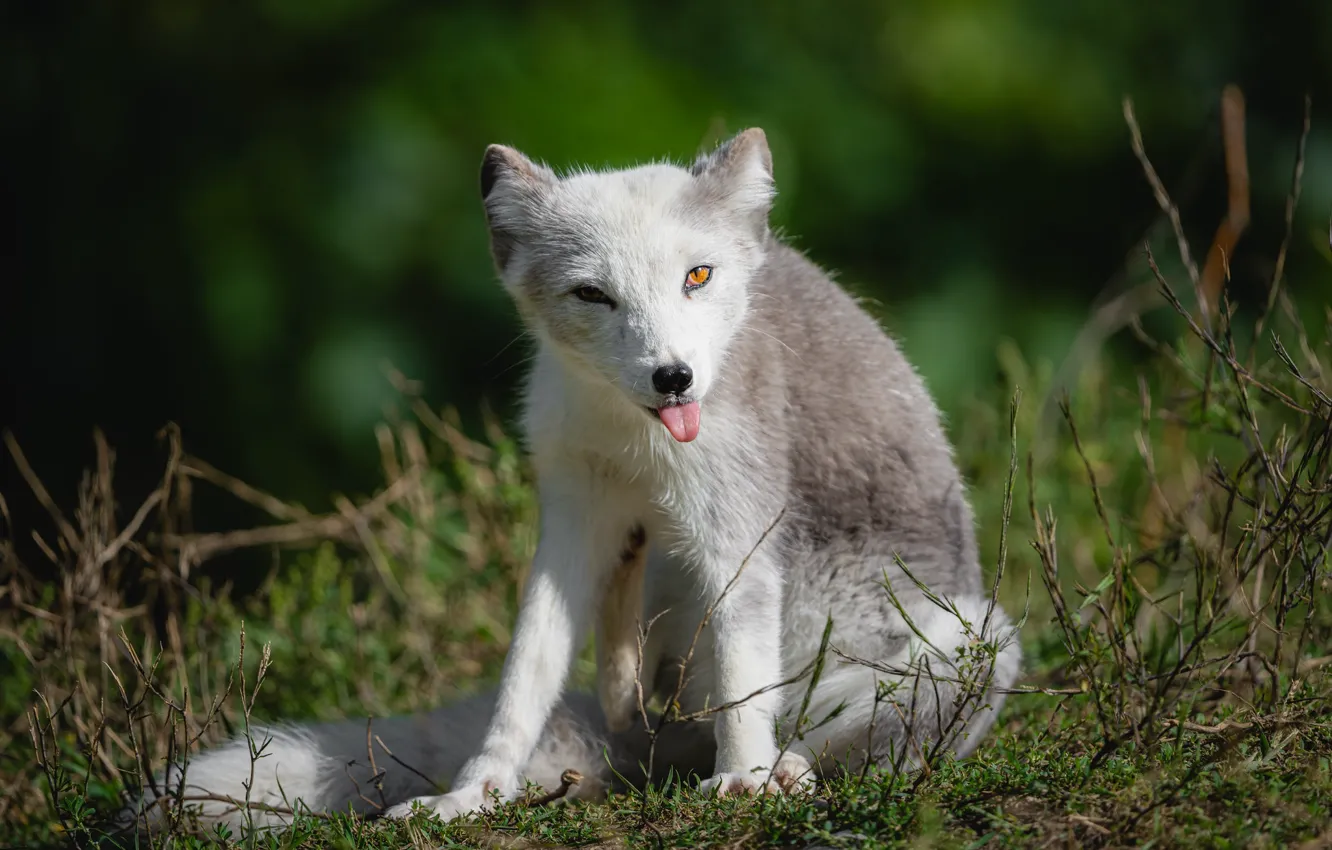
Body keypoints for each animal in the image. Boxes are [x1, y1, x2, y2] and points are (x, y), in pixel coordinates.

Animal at [124, 128, 1022, 832]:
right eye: (594, 293)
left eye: (698, 277)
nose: (674, 377)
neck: (634, 438)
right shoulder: (573, 510)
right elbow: (526, 669)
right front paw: (474, 793)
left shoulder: (739, 524)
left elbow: (743, 667)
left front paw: (744, 779)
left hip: (975, 643)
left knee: (822, 740)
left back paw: (782, 768)